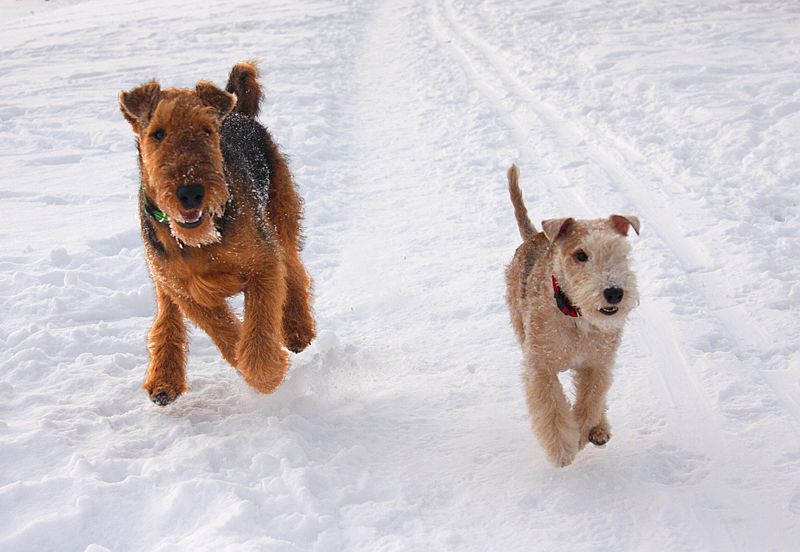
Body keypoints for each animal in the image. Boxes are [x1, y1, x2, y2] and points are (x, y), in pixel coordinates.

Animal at [119, 61, 316, 406]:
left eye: (206, 131)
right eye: (157, 133)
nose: (191, 192)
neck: (202, 240)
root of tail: (239, 114)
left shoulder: (263, 266)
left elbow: (259, 322)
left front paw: (265, 374)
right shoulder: (187, 291)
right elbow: (224, 330)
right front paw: (250, 363)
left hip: (282, 217)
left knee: (294, 269)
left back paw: (296, 329)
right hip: (161, 272)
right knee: (165, 315)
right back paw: (164, 379)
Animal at [506, 165, 644, 466]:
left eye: (620, 252)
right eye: (580, 255)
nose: (614, 293)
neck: (575, 316)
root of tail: (535, 236)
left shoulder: (597, 364)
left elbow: (589, 404)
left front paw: (581, 435)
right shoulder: (541, 367)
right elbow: (553, 409)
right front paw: (562, 449)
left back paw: (599, 429)